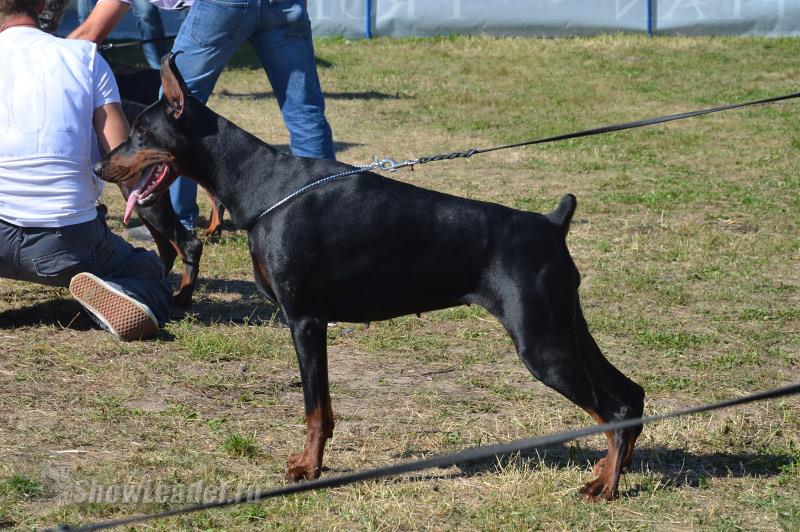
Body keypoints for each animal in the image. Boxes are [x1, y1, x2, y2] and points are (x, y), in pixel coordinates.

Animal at [95, 54, 644, 498]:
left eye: (140, 131)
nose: (100, 166)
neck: (260, 183)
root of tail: (552, 223)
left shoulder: (305, 321)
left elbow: (315, 407)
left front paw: (308, 469)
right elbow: (323, 407)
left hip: (541, 343)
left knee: (614, 411)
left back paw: (605, 486)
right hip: (565, 326)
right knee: (631, 397)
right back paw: (604, 472)